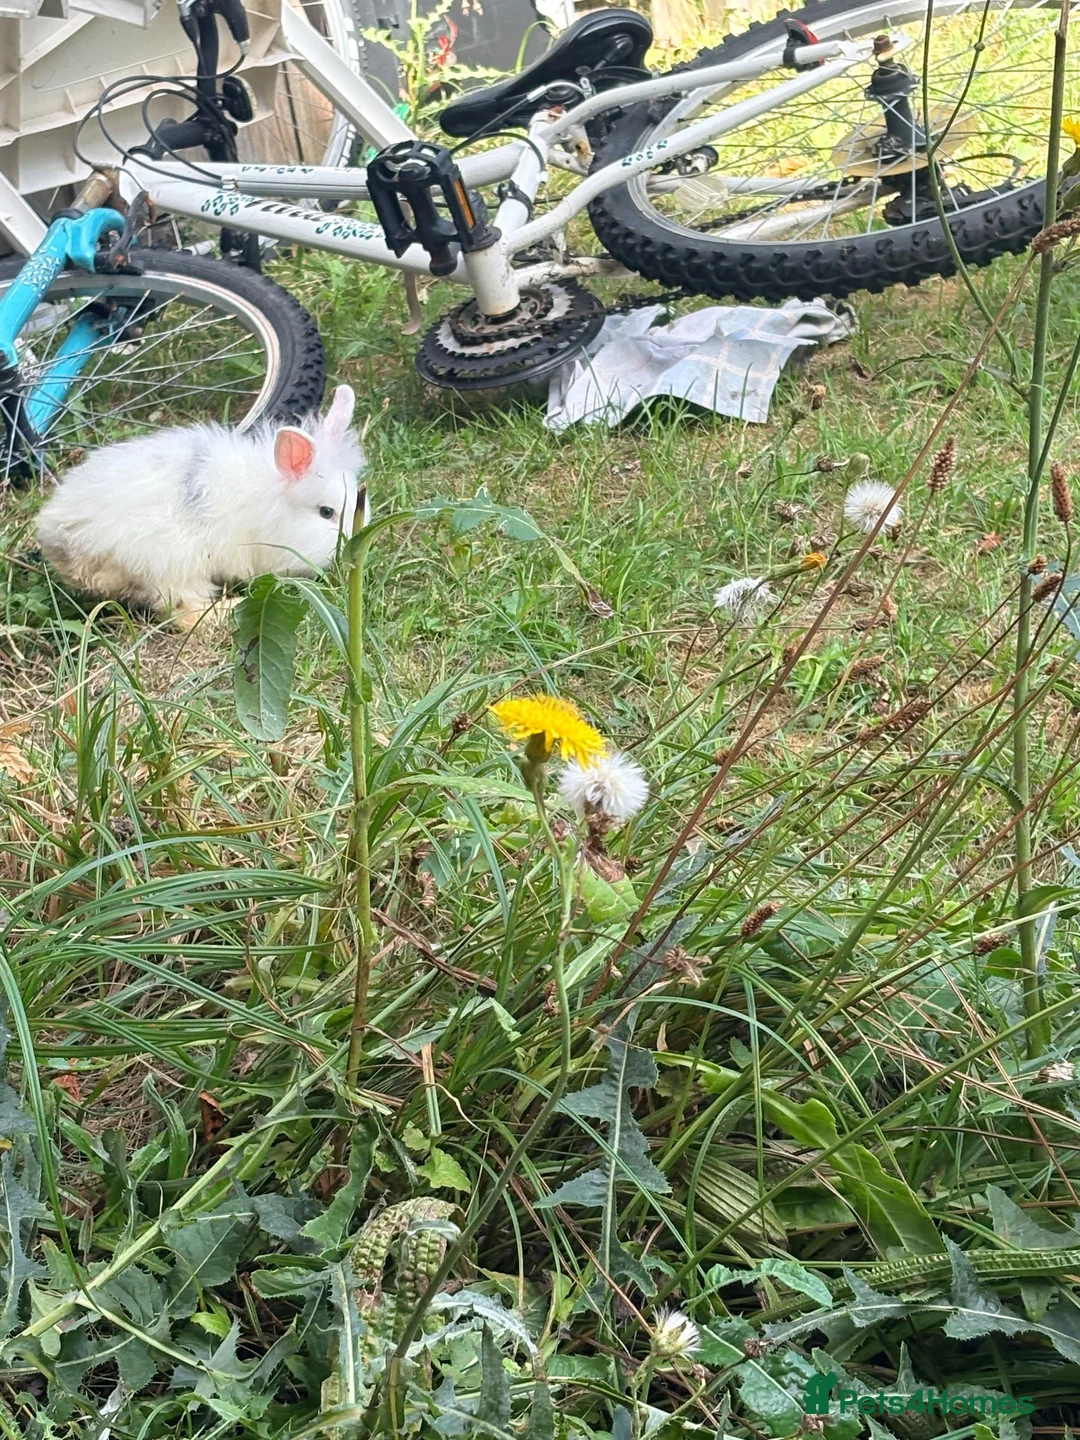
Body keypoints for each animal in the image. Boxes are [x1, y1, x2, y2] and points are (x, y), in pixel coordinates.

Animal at [36, 384, 364, 630]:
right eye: (326, 512)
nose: (352, 549)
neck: (267, 502)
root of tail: (61, 538)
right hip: (174, 564)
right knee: (185, 613)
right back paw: (232, 607)